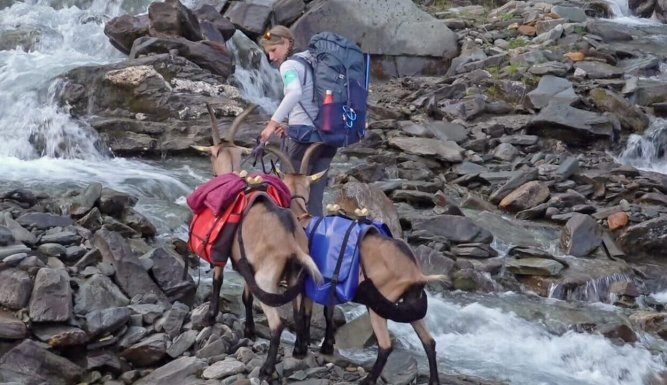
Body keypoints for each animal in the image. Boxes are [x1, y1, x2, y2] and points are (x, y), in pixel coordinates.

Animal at [190, 103, 324, 378]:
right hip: (292, 276)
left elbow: (218, 281)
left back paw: (266, 369)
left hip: (268, 279)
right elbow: (246, 297)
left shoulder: (224, 256)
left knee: (277, 323)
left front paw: (210, 317)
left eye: (211, 155)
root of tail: (291, 242)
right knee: (297, 312)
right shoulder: (247, 265)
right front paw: (250, 330)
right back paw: (299, 350)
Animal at [264, 143, 444, 384]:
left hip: (380, 303)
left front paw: (300, 349)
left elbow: (302, 313)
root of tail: (416, 273)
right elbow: (327, 312)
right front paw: (325, 346)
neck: (302, 222)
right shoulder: (327, 284)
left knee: (386, 345)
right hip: (410, 303)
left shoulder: (304, 281)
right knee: (429, 341)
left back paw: (368, 380)